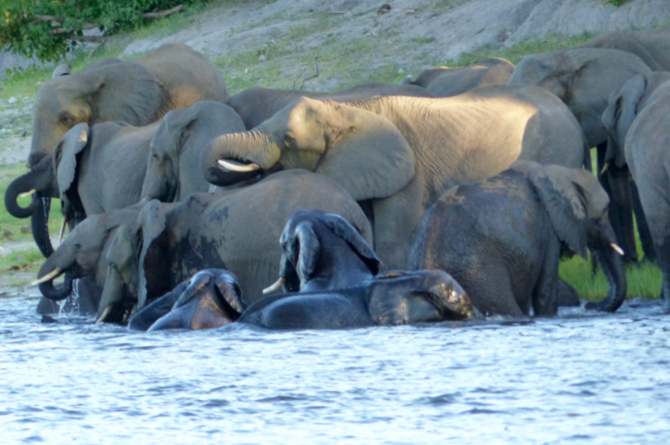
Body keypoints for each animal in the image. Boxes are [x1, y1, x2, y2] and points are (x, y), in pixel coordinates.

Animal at [406, 160, 632, 316]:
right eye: (604, 211)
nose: (590, 305)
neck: (557, 173)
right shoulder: (548, 232)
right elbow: (544, 293)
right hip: (478, 273)